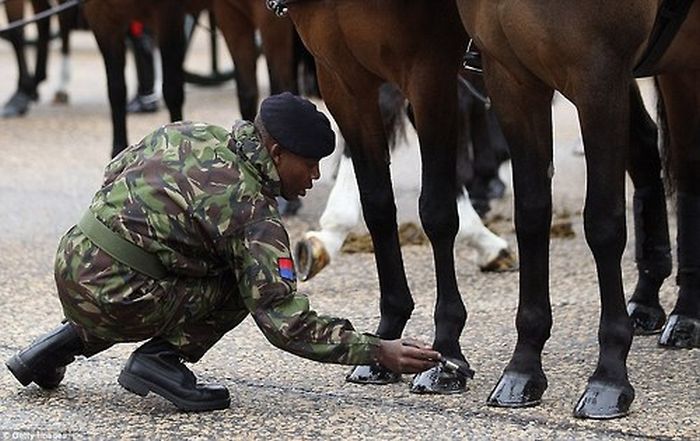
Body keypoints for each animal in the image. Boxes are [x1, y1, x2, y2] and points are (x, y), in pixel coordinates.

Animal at [460, 0, 700, 420]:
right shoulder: (511, 79)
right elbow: (532, 216)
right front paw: (523, 369)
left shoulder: (599, 79)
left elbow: (603, 225)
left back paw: (686, 313)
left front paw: (609, 378)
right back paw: (649, 300)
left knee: (688, 171)